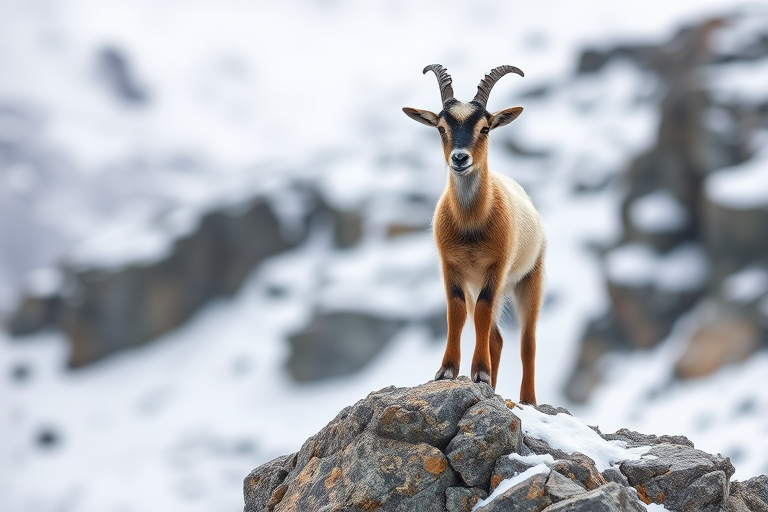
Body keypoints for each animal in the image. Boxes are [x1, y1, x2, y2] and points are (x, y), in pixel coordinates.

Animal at [403, 64, 545, 404]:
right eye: (441, 128)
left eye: (486, 128)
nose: (459, 158)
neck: (470, 226)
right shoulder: (451, 267)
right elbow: (456, 311)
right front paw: (447, 370)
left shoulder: (496, 268)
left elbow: (481, 310)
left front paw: (479, 372)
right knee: (496, 337)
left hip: (529, 278)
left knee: (527, 341)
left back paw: (527, 400)